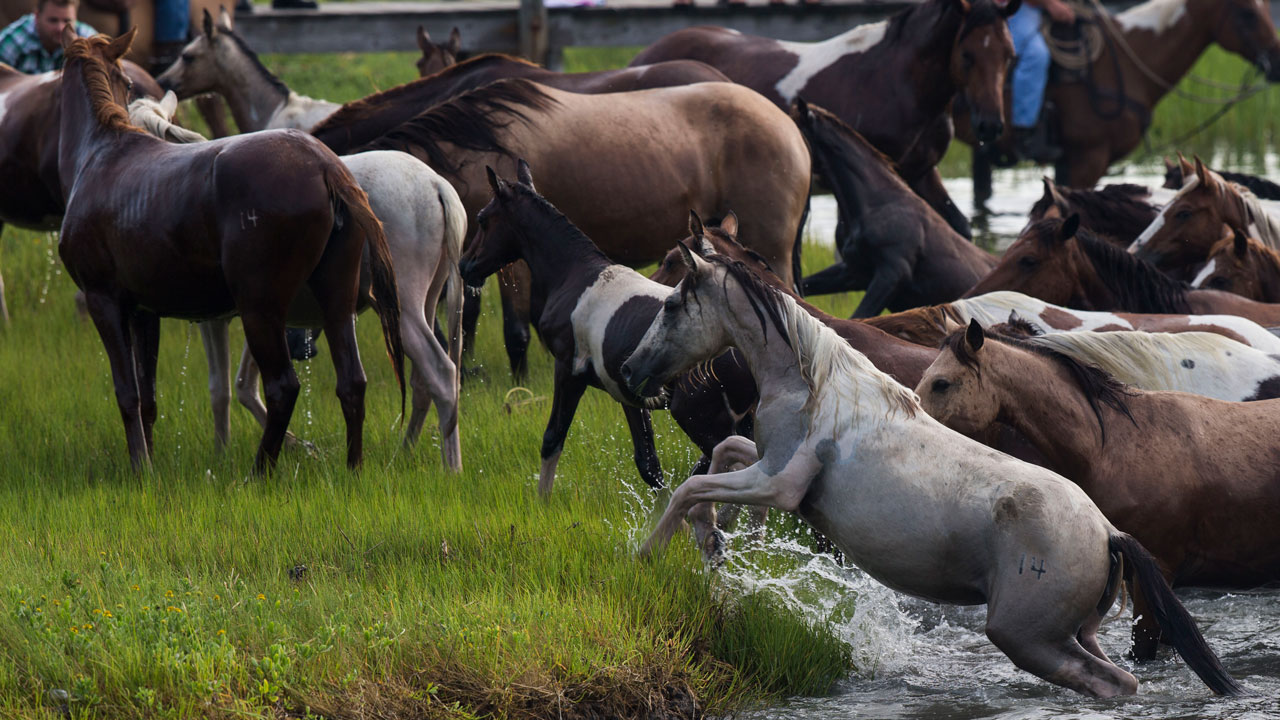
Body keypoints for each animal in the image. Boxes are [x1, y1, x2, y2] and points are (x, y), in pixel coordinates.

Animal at [57, 30, 403, 472]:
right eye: (129, 82)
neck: (102, 154)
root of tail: (326, 166)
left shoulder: (104, 301)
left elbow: (127, 393)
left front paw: (140, 467)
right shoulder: (144, 311)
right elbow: (148, 397)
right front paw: (148, 464)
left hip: (259, 308)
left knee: (282, 387)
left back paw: (259, 472)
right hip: (337, 303)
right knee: (352, 383)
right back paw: (352, 468)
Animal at [128, 93, 466, 469]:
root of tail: (436, 185)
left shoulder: (220, 318)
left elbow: (223, 390)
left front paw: (227, 452)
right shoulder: (260, 311)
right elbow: (243, 385)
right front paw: (288, 446)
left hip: (401, 308)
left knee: (441, 373)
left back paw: (451, 468)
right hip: (425, 301)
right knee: (425, 382)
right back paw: (405, 452)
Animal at [342, 78, 810, 380]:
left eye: (483, 221)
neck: (471, 148)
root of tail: (788, 125)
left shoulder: (514, 265)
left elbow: (516, 330)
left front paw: (520, 386)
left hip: (772, 247)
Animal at [617, 248, 1243, 698]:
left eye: (670, 305)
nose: (629, 368)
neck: (811, 383)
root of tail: (1107, 532)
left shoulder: (781, 485)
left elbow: (690, 487)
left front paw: (649, 556)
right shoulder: (768, 468)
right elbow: (724, 451)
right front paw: (716, 538)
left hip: (1025, 637)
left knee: (1116, 684)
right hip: (1076, 634)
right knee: (1114, 674)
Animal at [630, 0, 1021, 239]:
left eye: (1009, 55)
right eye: (967, 55)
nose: (990, 125)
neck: (897, 81)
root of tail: (643, 57)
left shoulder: (921, 172)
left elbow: (958, 226)